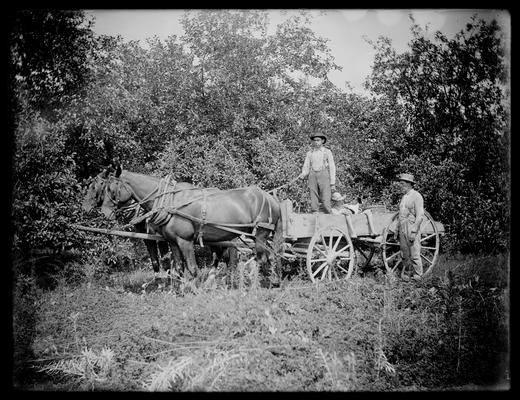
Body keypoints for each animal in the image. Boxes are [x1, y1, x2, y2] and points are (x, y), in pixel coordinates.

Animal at [100, 162, 282, 282]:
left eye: (111, 189)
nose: (104, 212)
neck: (170, 201)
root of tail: (271, 199)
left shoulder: (185, 241)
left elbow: (192, 269)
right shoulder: (172, 241)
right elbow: (178, 269)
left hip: (260, 234)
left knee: (261, 259)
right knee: (269, 256)